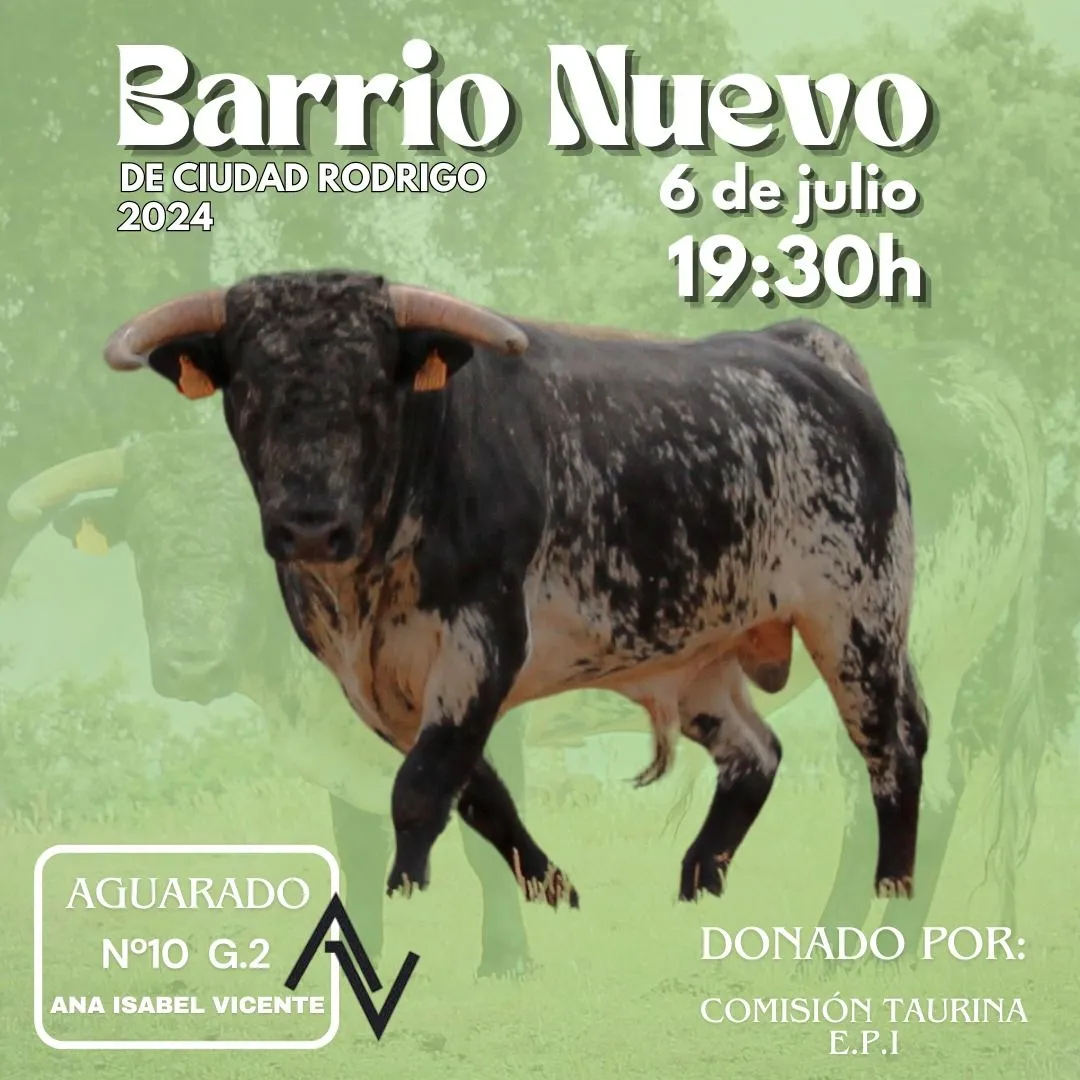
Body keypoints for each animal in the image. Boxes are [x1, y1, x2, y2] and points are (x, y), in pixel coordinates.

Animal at [98, 269, 930, 912]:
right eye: (247, 387)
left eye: (375, 386)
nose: (309, 527)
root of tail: (802, 348)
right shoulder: (374, 683)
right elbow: (475, 793)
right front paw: (556, 894)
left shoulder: (484, 638)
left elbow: (420, 789)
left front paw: (412, 898)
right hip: (694, 654)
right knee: (755, 754)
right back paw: (698, 888)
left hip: (858, 618)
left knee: (893, 747)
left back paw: (888, 902)